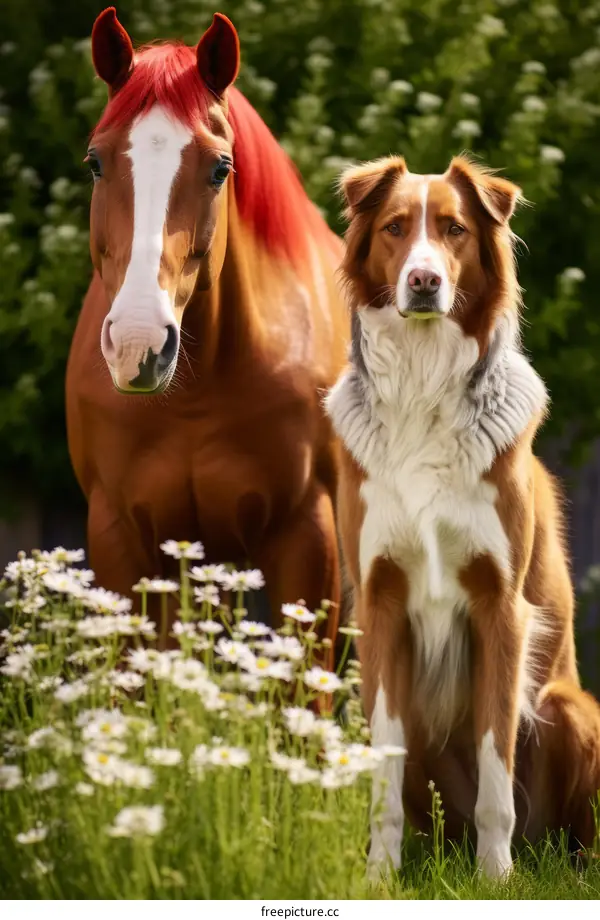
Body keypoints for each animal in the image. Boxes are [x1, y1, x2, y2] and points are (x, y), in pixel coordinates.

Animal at [66, 8, 349, 662]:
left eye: (220, 168)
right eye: (95, 162)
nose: (139, 345)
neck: (197, 394)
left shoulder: (307, 536)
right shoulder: (121, 537)